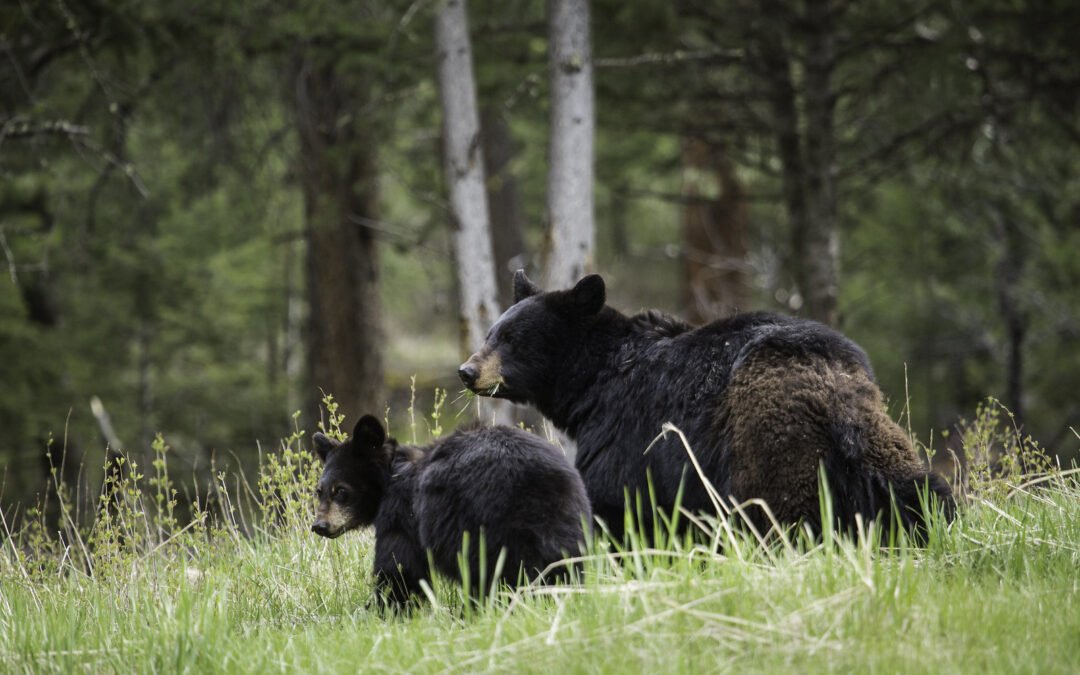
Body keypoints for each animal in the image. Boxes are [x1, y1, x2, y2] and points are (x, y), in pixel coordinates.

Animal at [311, 414, 591, 608]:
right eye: (319, 490)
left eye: (340, 490)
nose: (319, 525)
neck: (391, 475)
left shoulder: (402, 513)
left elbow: (399, 567)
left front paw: (385, 610)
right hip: (568, 521)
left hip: (482, 525)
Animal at [458, 270, 955, 542]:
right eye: (491, 332)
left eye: (512, 338)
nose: (467, 371)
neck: (595, 381)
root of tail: (833, 391)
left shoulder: (627, 431)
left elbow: (615, 501)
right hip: (878, 442)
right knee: (919, 491)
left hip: (771, 443)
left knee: (780, 513)